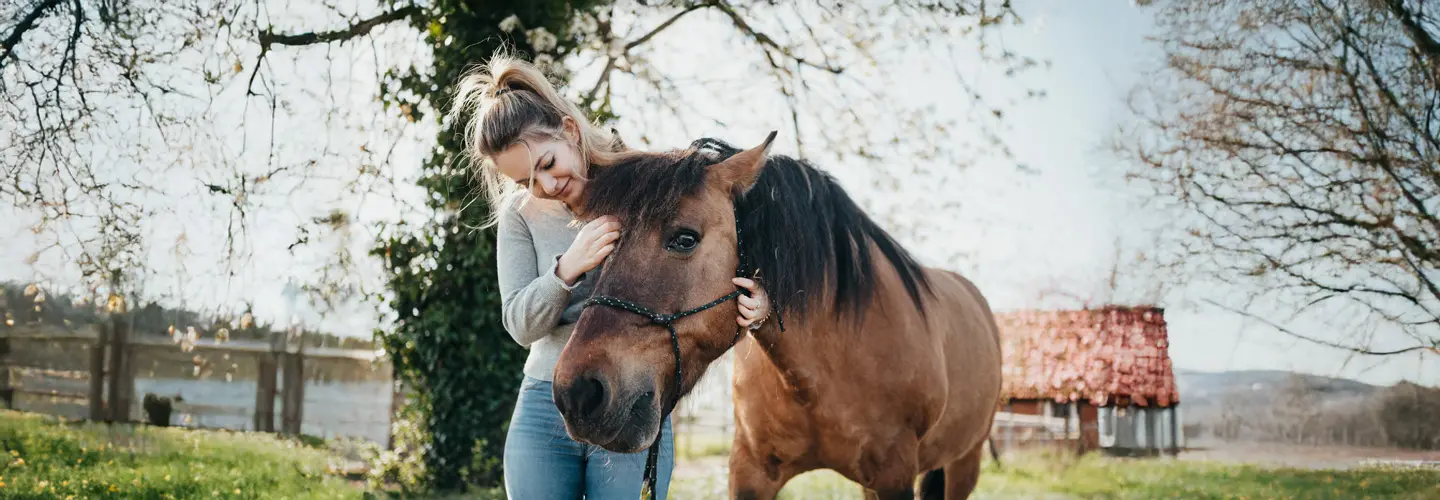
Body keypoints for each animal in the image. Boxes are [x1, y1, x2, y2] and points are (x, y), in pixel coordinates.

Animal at [549, 131, 1004, 499]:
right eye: (604, 242)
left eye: (685, 238)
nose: (579, 392)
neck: (822, 376)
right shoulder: (750, 472)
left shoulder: (895, 476)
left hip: (964, 464)